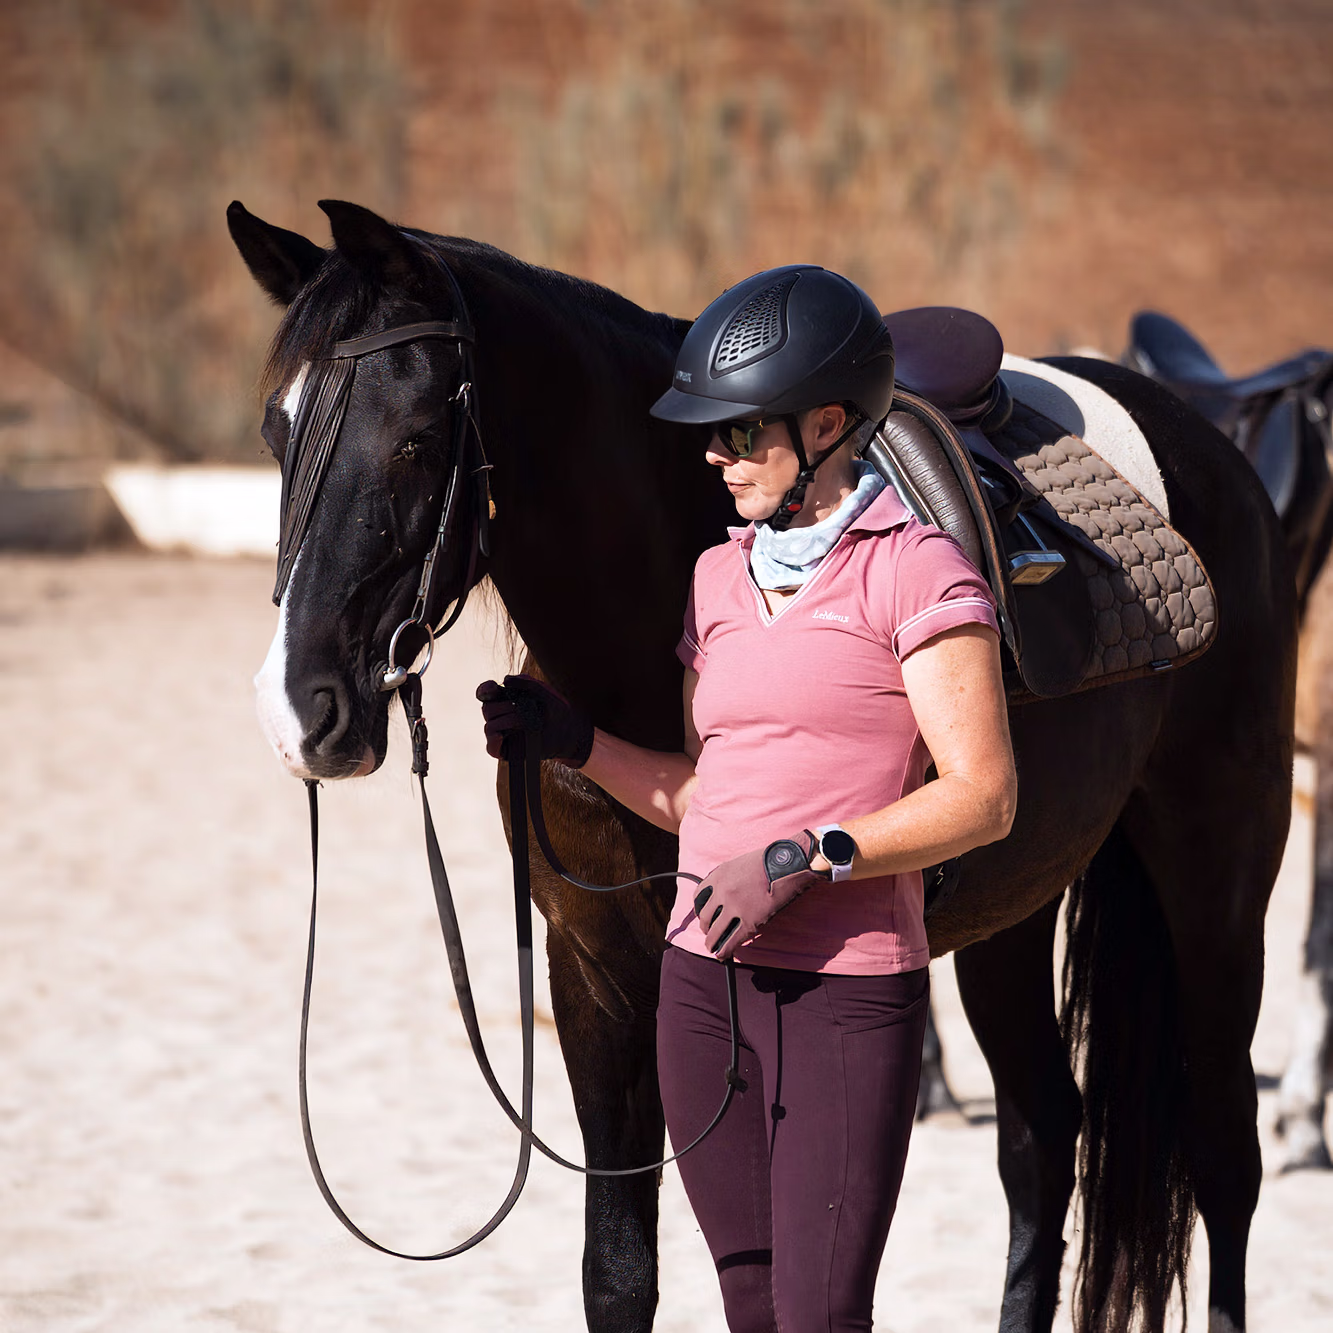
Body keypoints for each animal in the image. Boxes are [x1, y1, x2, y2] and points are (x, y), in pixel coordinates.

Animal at [229, 198, 1296, 1333]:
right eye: (276, 432)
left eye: (417, 438)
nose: (299, 708)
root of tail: (1206, 445)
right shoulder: (596, 973)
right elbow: (622, 1273)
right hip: (1013, 904)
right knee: (1043, 1135)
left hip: (1216, 885)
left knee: (1222, 1154)